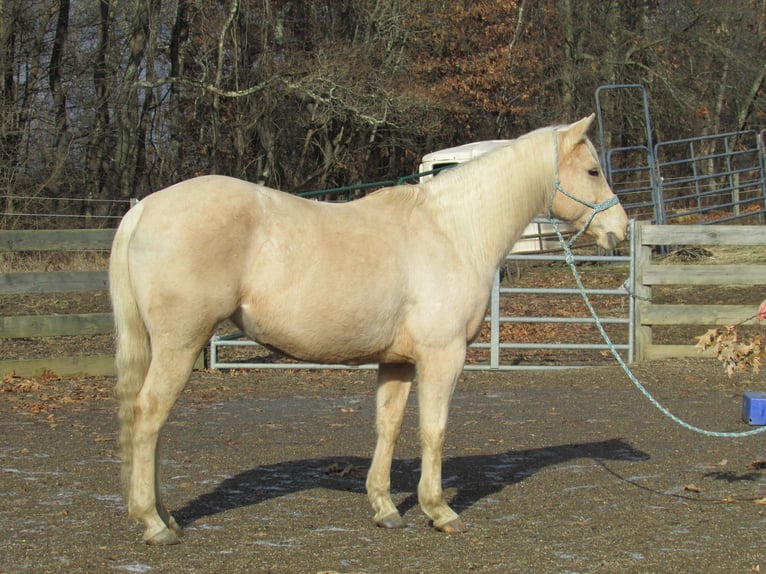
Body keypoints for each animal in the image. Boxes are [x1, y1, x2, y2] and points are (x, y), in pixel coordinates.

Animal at [111, 115, 632, 548]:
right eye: (592, 171)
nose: (620, 230)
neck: (453, 231)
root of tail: (145, 208)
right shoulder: (443, 356)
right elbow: (433, 430)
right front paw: (439, 511)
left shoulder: (397, 362)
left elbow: (389, 426)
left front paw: (384, 508)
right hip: (180, 344)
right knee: (149, 415)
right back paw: (154, 523)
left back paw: (164, 515)